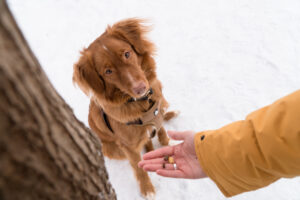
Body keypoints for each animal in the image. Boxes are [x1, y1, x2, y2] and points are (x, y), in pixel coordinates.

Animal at [72, 18, 176, 198]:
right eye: (108, 71)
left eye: (127, 54)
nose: (140, 88)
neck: (141, 103)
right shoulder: (128, 147)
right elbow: (138, 168)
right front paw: (147, 189)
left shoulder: (157, 112)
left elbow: (162, 129)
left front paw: (166, 144)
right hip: (112, 149)